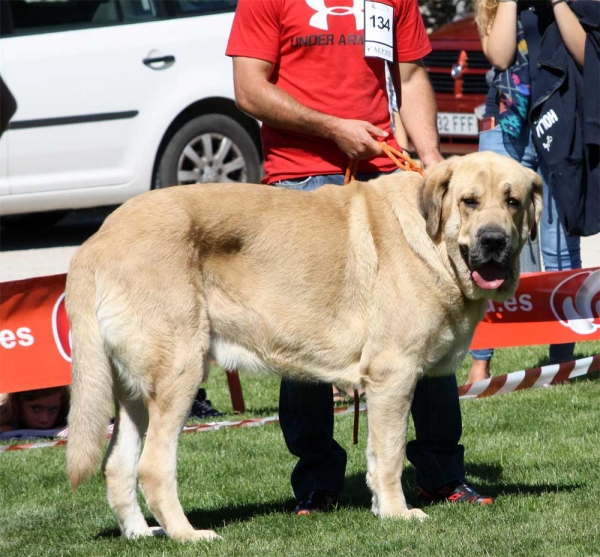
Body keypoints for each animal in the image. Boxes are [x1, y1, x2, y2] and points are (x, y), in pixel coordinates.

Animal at [65, 151, 544, 540]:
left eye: (513, 201)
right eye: (469, 201)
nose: (494, 240)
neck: (433, 241)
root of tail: (94, 243)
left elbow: (376, 455)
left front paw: (382, 508)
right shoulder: (394, 375)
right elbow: (390, 454)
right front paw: (397, 513)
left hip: (134, 393)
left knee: (117, 467)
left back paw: (139, 534)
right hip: (180, 374)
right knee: (152, 467)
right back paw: (187, 535)